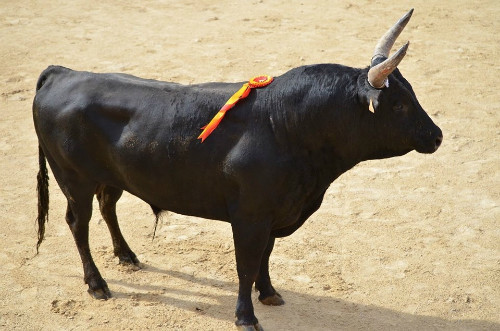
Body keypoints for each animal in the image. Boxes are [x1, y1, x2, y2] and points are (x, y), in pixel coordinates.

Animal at [33, 9, 442, 330]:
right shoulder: (250, 216)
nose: (436, 136)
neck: (288, 124)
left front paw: (270, 293)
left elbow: (265, 256)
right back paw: (97, 284)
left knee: (108, 206)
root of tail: (61, 73)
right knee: (78, 223)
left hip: (110, 176)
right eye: (399, 105)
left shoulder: (274, 213)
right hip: (74, 180)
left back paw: (127, 256)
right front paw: (246, 317)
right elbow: (246, 263)